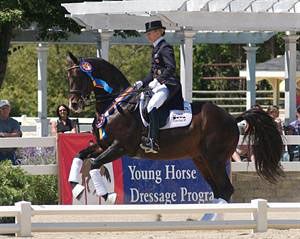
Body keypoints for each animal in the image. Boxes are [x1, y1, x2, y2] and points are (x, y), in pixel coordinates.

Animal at [67, 52, 284, 204]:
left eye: (79, 76)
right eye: (68, 76)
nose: (74, 104)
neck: (116, 104)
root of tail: (231, 117)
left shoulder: (120, 147)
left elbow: (94, 163)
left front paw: (108, 196)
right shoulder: (103, 145)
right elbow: (80, 154)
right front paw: (76, 188)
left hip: (214, 159)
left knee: (225, 189)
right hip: (201, 159)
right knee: (218, 189)